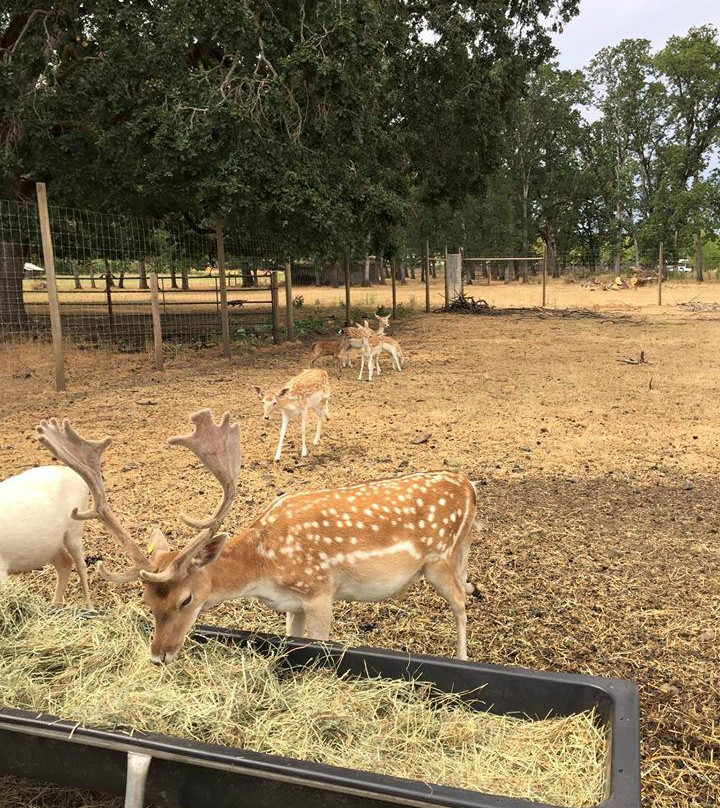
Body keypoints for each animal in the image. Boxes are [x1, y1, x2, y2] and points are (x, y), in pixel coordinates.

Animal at [0, 465, 93, 608]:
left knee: (80, 564)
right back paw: (55, 607)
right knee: (65, 562)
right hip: (50, 546)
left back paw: (90, 607)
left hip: (75, 529)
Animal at [36, 412, 479, 663]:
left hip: (440, 560)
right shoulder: (292, 604)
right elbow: (293, 642)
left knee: (461, 603)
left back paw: (463, 660)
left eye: (186, 599)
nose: (160, 655)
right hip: (456, 556)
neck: (266, 567)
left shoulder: (320, 592)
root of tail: (470, 486)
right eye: (147, 602)